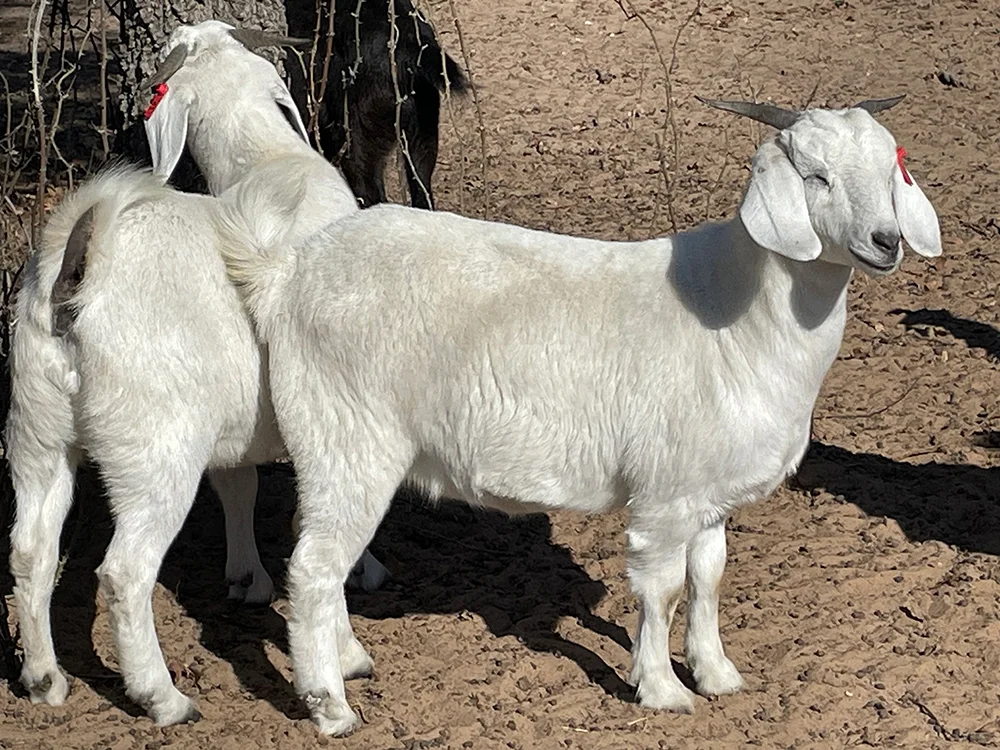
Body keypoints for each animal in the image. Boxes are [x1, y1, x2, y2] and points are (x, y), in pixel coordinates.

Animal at [7, 21, 386, 728]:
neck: (267, 161)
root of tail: (76, 276)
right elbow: (316, 521)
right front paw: (349, 644)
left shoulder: (240, 421)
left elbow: (239, 484)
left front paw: (247, 577)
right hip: (154, 446)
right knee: (124, 573)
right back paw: (162, 697)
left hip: (36, 428)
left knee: (31, 548)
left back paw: (44, 677)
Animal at [217, 95, 942, 735]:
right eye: (816, 176)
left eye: (890, 170)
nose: (886, 240)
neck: (743, 316)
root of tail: (286, 276)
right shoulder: (666, 494)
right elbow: (663, 588)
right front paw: (662, 689)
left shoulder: (711, 494)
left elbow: (708, 579)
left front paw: (716, 674)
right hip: (349, 434)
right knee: (314, 569)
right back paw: (329, 706)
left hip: (333, 448)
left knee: (318, 552)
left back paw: (349, 661)